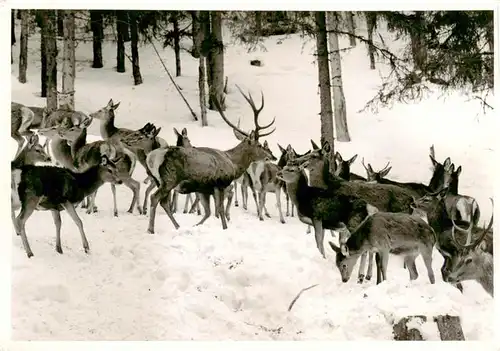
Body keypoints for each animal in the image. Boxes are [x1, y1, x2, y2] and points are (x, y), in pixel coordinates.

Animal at [145, 86, 278, 234]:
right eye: (260, 145)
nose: (271, 157)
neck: (233, 163)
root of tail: (151, 157)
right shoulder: (220, 183)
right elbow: (219, 210)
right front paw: (225, 228)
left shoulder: (204, 189)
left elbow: (208, 212)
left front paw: (196, 226)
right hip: (169, 178)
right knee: (155, 198)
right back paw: (151, 229)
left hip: (159, 180)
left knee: (163, 202)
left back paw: (177, 226)